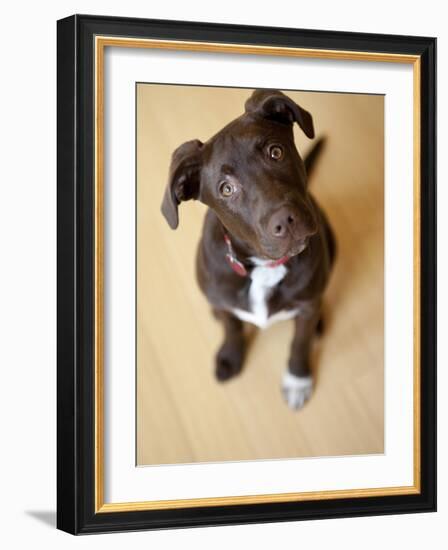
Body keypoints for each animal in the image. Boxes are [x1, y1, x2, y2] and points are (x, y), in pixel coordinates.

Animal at [163, 89, 334, 410]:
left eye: (276, 152)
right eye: (226, 189)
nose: (286, 221)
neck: (265, 267)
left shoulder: (306, 307)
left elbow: (300, 341)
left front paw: (297, 379)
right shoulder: (224, 300)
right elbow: (231, 328)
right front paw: (230, 357)